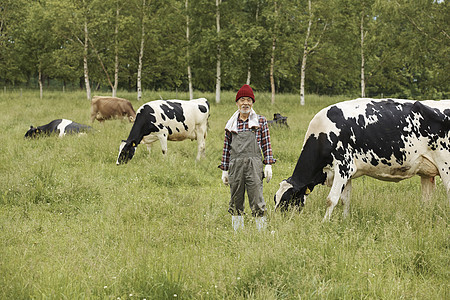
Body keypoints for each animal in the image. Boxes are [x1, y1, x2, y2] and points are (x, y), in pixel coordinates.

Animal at [274, 98, 450, 220]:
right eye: (275, 198)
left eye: (286, 200)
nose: (277, 220)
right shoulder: (347, 173)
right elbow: (345, 199)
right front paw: (344, 221)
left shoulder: (343, 166)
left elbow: (331, 199)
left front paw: (324, 222)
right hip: (427, 173)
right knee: (426, 202)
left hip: (446, 166)